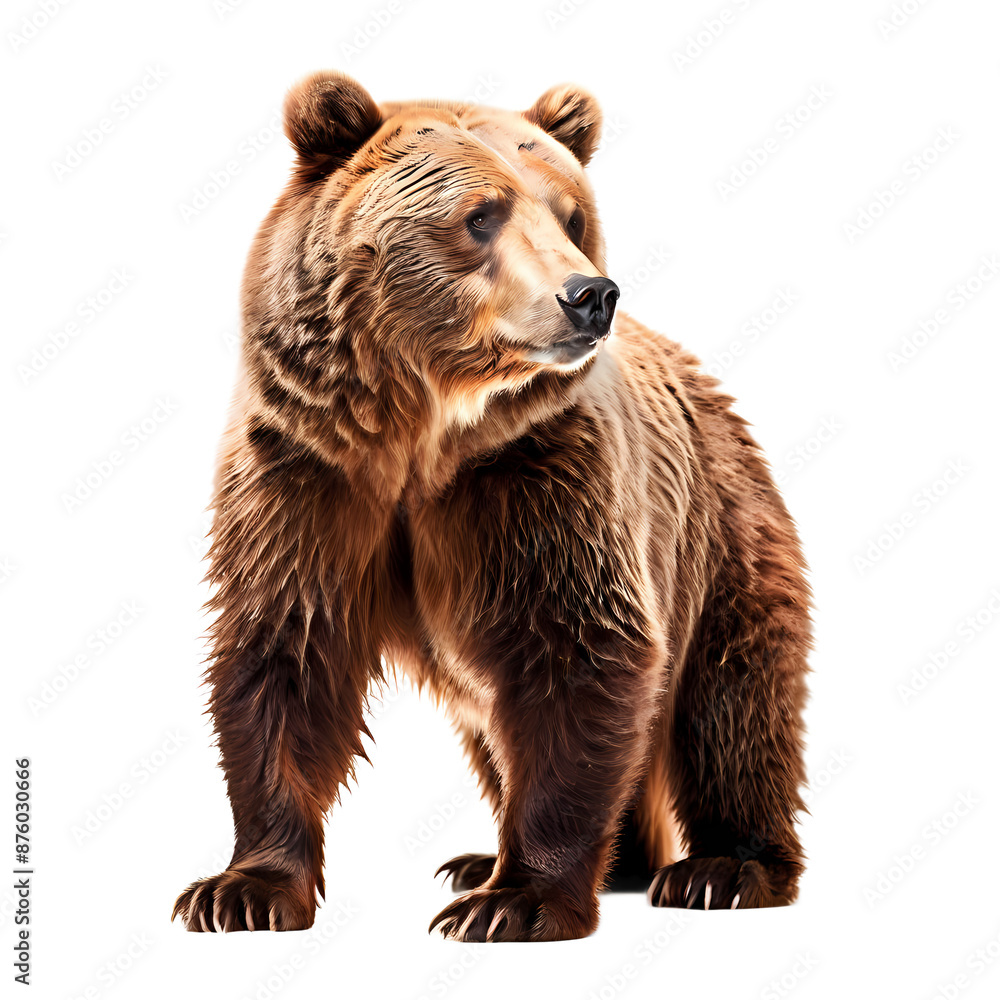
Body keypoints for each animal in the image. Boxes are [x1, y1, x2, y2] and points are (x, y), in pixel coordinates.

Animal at [172, 70, 811, 942]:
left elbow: (579, 652)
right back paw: (519, 859)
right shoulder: (308, 471)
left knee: (733, 704)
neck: (419, 433)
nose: (591, 295)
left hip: (716, 536)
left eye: (572, 215)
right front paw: (241, 889)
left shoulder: (538, 479)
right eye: (482, 213)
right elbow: (285, 654)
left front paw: (517, 900)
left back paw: (722, 867)